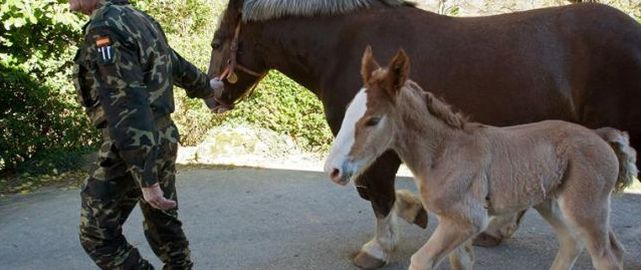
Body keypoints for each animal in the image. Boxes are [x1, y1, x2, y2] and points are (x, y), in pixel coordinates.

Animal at [324, 47, 636, 268]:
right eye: (349, 110)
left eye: (373, 120)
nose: (333, 170)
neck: (444, 152)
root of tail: (600, 135)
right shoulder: (455, 224)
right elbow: (461, 262)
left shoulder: (468, 220)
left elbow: (421, 260)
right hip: (551, 202)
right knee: (577, 243)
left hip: (586, 207)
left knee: (606, 256)